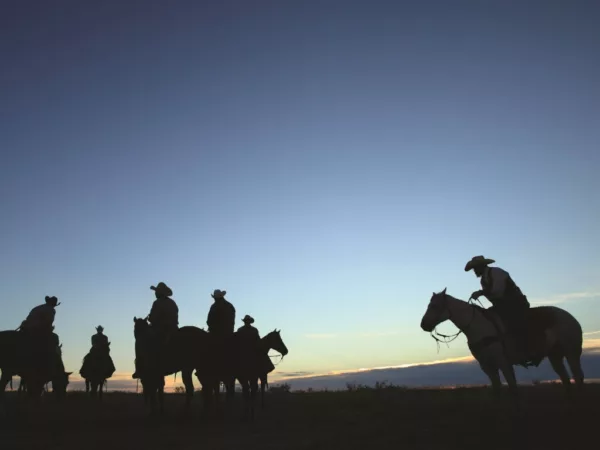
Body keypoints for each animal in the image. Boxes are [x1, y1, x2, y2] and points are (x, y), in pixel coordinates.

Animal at [420, 288, 584, 403]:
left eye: (434, 306)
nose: (423, 325)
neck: (478, 326)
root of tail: (571, 318)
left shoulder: (503, 362)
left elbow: (513, 388)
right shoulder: (487, 367)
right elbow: (497, 390)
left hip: (572, 352)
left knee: (578, 376)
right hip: (555, 356)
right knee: (565, 378)